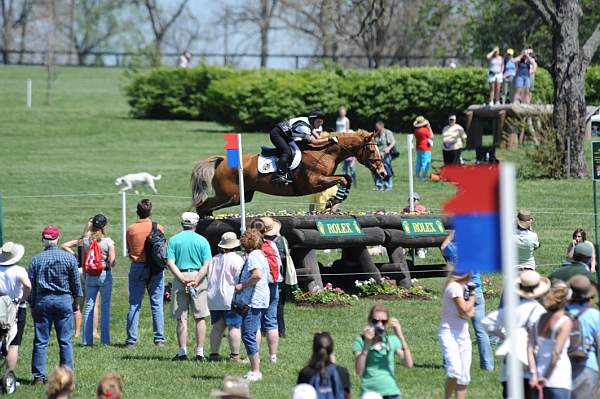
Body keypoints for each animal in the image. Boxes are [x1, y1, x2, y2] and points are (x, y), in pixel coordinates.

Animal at [195, 131, 386, 217]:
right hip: (229, 195)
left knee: (208, 205)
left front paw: (335, 200)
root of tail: (222, 161)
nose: (383, 173)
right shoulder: (314, 182)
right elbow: (343, 179)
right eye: (371, 150)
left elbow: (346, 178)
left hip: (241, 196)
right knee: (204, 204)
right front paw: (333, 200)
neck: (325, 152)